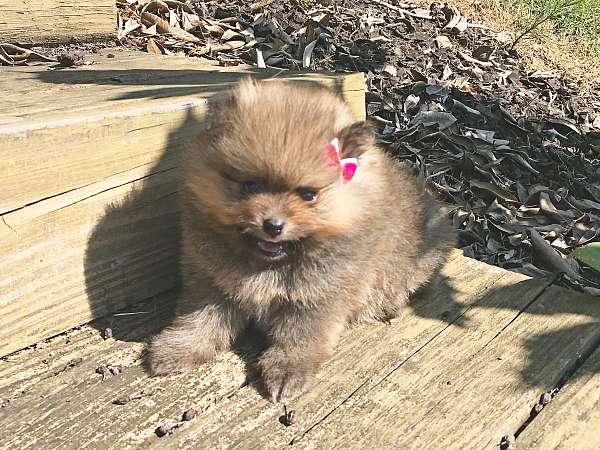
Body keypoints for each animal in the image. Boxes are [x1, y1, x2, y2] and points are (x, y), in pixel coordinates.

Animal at [145, 78, 454, 400]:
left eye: (308, 195)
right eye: (251, 185)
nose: (273, 225)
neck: (269, 264)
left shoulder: (318, 296)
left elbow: (300, 336)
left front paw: (288, 370)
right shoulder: (211, 282)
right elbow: (198, 320)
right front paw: (178, 348)